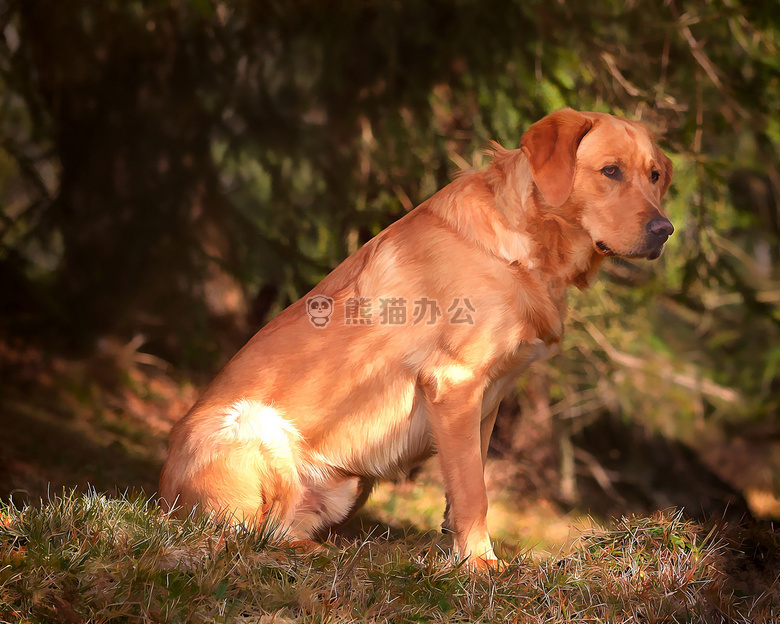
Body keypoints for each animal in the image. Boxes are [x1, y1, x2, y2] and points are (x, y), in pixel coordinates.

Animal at [157, 108, 672, 572]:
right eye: (610, 171)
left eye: (654, 176)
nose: (665, 230)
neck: (528, 245)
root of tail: (163, 500)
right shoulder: (455, 382)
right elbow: (474, 491)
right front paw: (480, 565)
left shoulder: (488, 399)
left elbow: (465, 485)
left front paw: (458, 553)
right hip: (250, 423)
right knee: (247, 536)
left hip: (346, 483)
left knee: (279, 531)